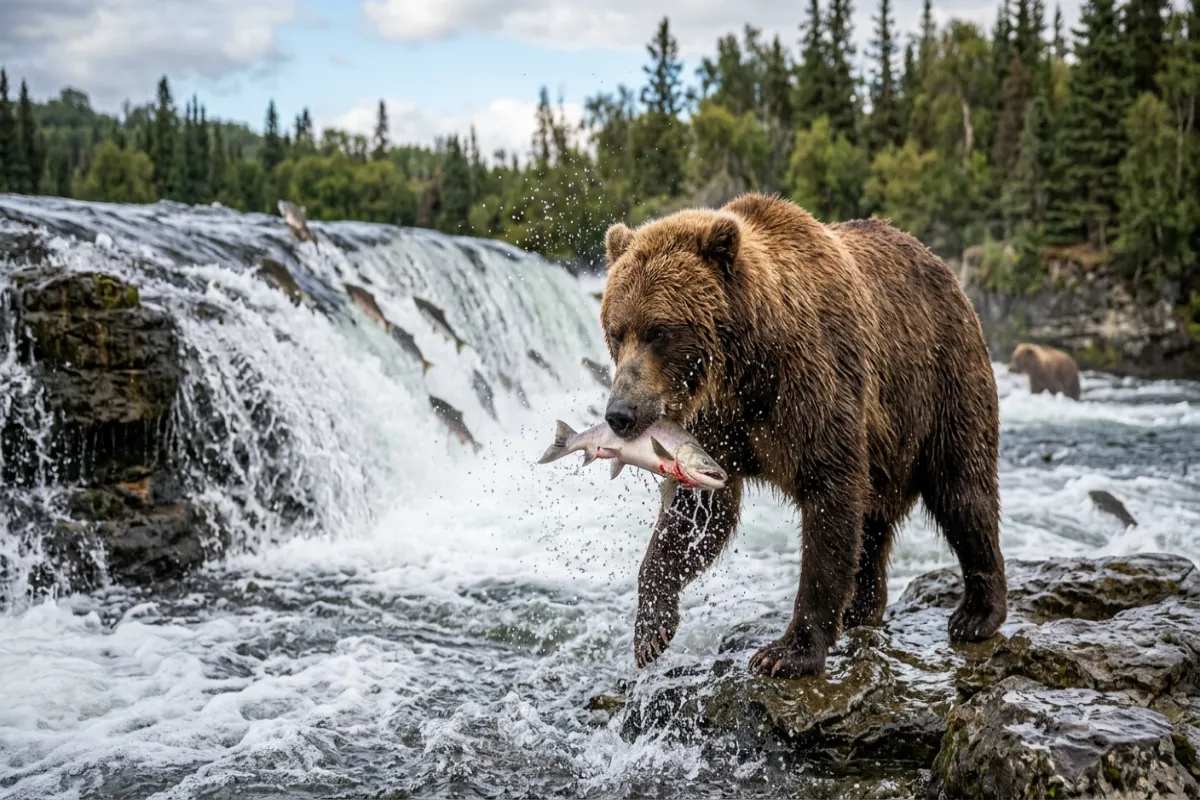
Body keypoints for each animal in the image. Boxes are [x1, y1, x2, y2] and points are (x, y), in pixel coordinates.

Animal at [599, 193, 1007, 678]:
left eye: (658, 331)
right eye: (616, 331)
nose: (620, 413)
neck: (746, 371)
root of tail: (942, 267)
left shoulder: (813, 385)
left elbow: (829, 501)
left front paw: (787, 651)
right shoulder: (714, 425)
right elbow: (700, 510)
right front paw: (651, 629)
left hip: (942, 380)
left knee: (962, 489)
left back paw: (977, 613)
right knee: (875, 519)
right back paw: (862, 608)